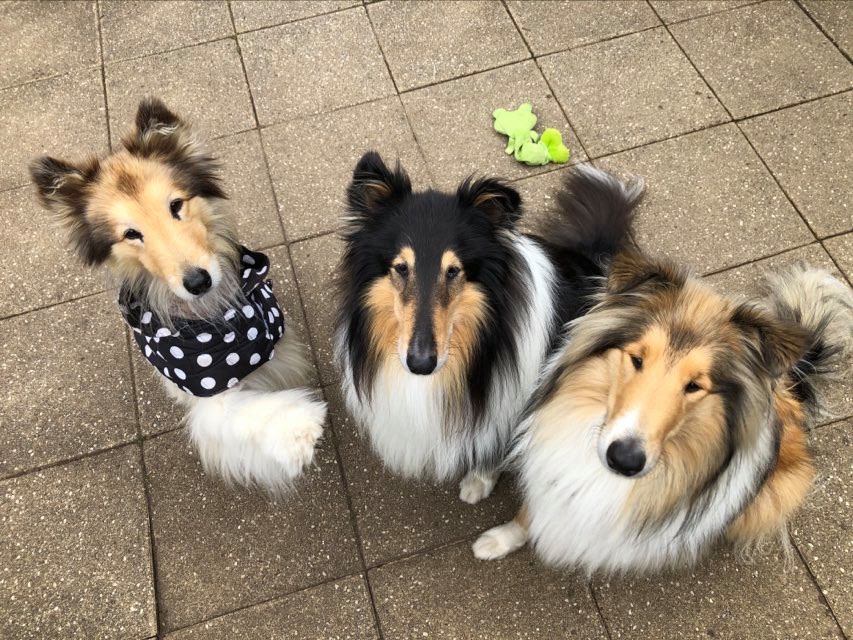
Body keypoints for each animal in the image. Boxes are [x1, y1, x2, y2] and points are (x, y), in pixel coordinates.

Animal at [30, 98, 326, 494]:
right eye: (131, 234)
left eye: (176, 205)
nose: (198, 281)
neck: (214, 316)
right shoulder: (204, 386)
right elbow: (230, 414)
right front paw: (301, 429)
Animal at [473, 173, 853, 572]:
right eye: (637, 359)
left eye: (695, 385)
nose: (624, 460)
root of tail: (790, 384)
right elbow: (528, 512)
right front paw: (498, 539)